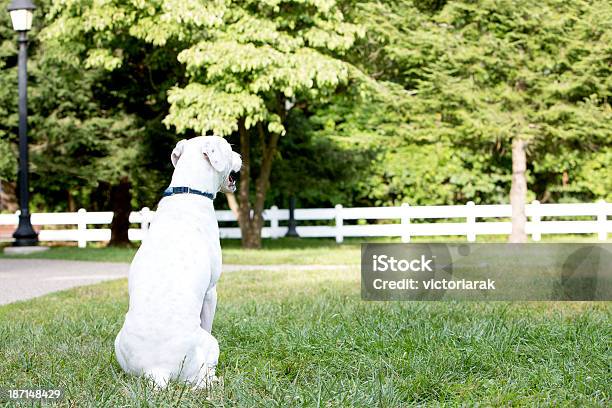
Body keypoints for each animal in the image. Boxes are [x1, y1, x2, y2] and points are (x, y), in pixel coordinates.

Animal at [115, 135, 241, 388]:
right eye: (230, 149)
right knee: (203, 379)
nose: (241, 156)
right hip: (210, 346)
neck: (189, 191)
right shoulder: (211, 291)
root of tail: (156, 370)